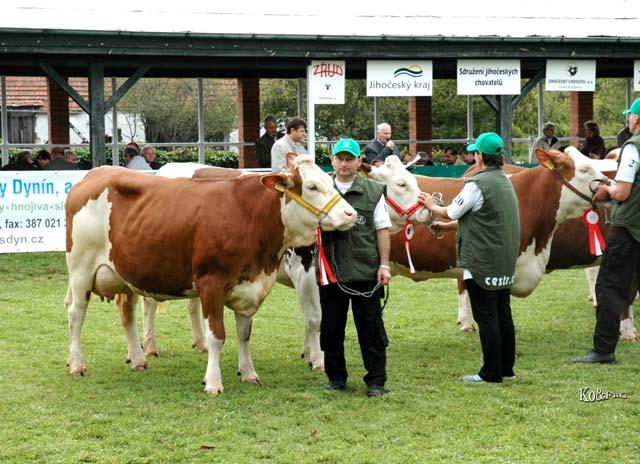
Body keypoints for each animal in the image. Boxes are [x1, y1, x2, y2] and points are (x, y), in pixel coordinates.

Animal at [63, 157, 360, 396]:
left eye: (331, 181)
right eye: (311, 187)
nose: (351, 213)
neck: (249, 215)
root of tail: (96, 173)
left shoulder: (249, 286)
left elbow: (244, 333)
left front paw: (248, 373)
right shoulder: (211, 283)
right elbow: (217, 334)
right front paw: (213, 382)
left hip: (125, 274)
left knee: (127, 311)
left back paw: (137, 359)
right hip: (80, 269)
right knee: (76, 314)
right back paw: (77, 364)